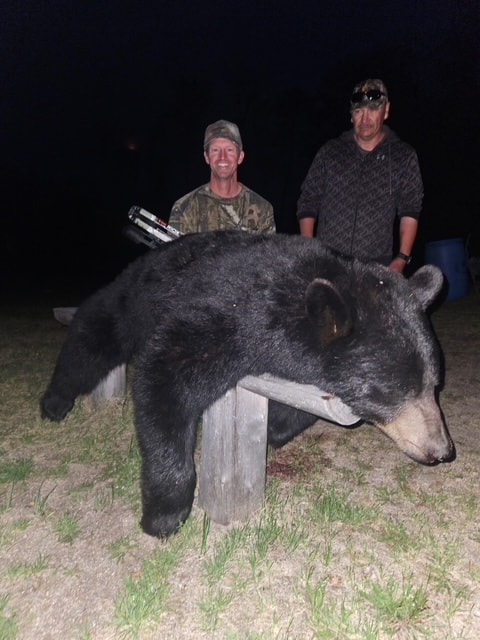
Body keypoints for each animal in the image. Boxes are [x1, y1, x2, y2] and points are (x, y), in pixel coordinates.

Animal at [41, 230, 454, 538]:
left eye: (434, 385)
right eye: (395, 390)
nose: (442, 450)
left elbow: (302, 407)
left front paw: (275, 428)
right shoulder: (223, 316)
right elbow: (164, 383)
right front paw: (164, 513)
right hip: (135, 298)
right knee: (93, 335)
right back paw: (55, 402)